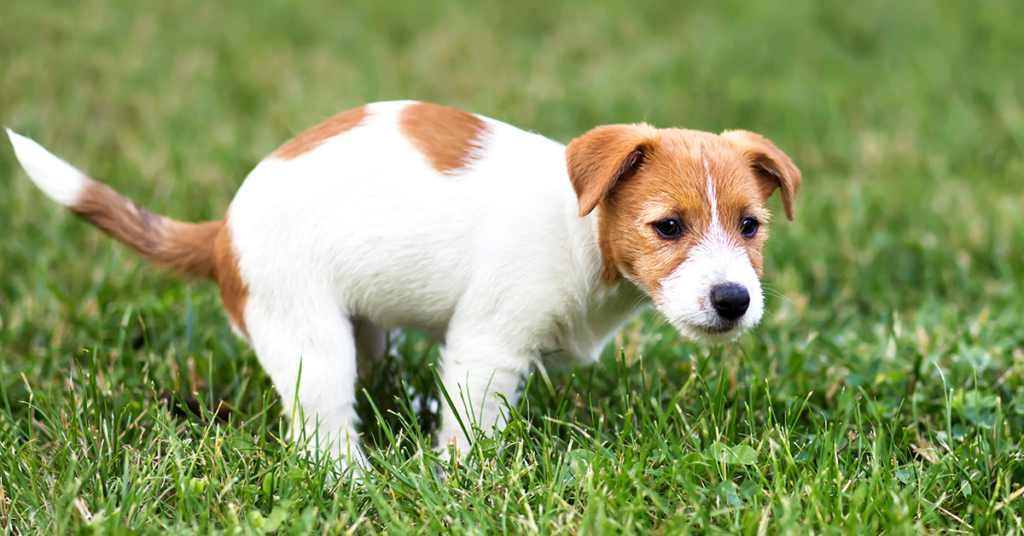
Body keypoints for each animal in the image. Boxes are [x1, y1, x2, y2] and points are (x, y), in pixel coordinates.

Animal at [8, 100, 802, 469]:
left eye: (750, 226)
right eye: (668, 227)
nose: (734, 301)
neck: (584, 233)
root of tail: (222, 231)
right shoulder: (487, 347)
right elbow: (472, 430)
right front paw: (462, 481)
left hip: (366, 332)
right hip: (310, 340)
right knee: (321, 428)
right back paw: (352, 479)